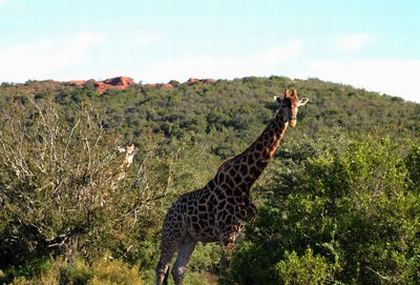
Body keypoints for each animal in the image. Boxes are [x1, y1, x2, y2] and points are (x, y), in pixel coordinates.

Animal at [154, 87, 308, 282]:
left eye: (297, 105)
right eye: (284, 104)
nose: (293, 120)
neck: (244, 182)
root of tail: (168, 211)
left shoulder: (240, 233)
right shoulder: (227, 234)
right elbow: (226, 272)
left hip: (189, 238)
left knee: (178, 270)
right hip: (172, 234)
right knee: (161, 266)